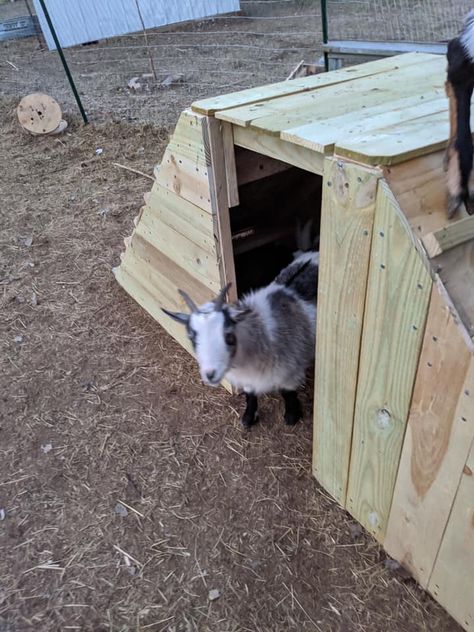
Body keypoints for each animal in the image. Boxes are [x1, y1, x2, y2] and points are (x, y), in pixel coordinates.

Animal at [163, 249, 318, 428]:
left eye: (228, 335)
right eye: (191, 336)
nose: (210, 374)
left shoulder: (291, 369)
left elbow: (288, 393)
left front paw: (292, 416)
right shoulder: (249, 377)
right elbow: (250, 395)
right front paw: (248, 417)